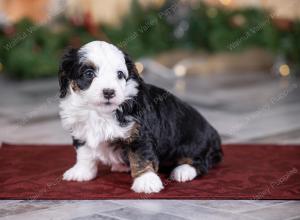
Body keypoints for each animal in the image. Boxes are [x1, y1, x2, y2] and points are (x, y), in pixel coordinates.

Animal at [58, 40, 223, 192]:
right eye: (89, 74)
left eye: (119, 75)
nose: (109, 92)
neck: (100, 112)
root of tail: (214, 135)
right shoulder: (80, 128)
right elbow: (84, 152)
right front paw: (81, 172)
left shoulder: (139, 133)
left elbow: (141, 157)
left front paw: (146, 181)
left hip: (195, 143)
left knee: (201, 162)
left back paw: (183, 171)